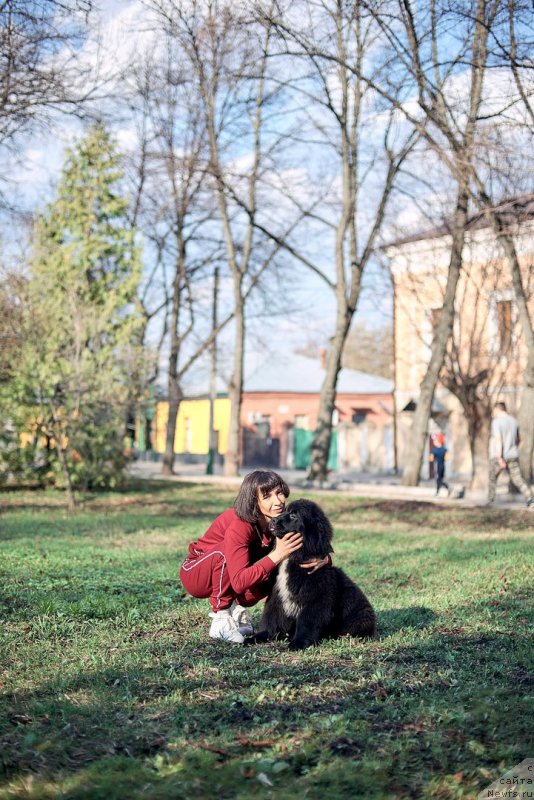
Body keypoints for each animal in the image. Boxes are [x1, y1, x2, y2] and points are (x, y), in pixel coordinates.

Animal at [247, 500, 376, 648]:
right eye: (284, 510)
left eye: (294, 515)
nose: (273, 520)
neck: (294, 557)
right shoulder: (277, 594)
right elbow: (272, 618)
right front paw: (258, 637)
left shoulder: (314, 598)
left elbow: (306, 622)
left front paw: (298, 643)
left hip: (361, 616)